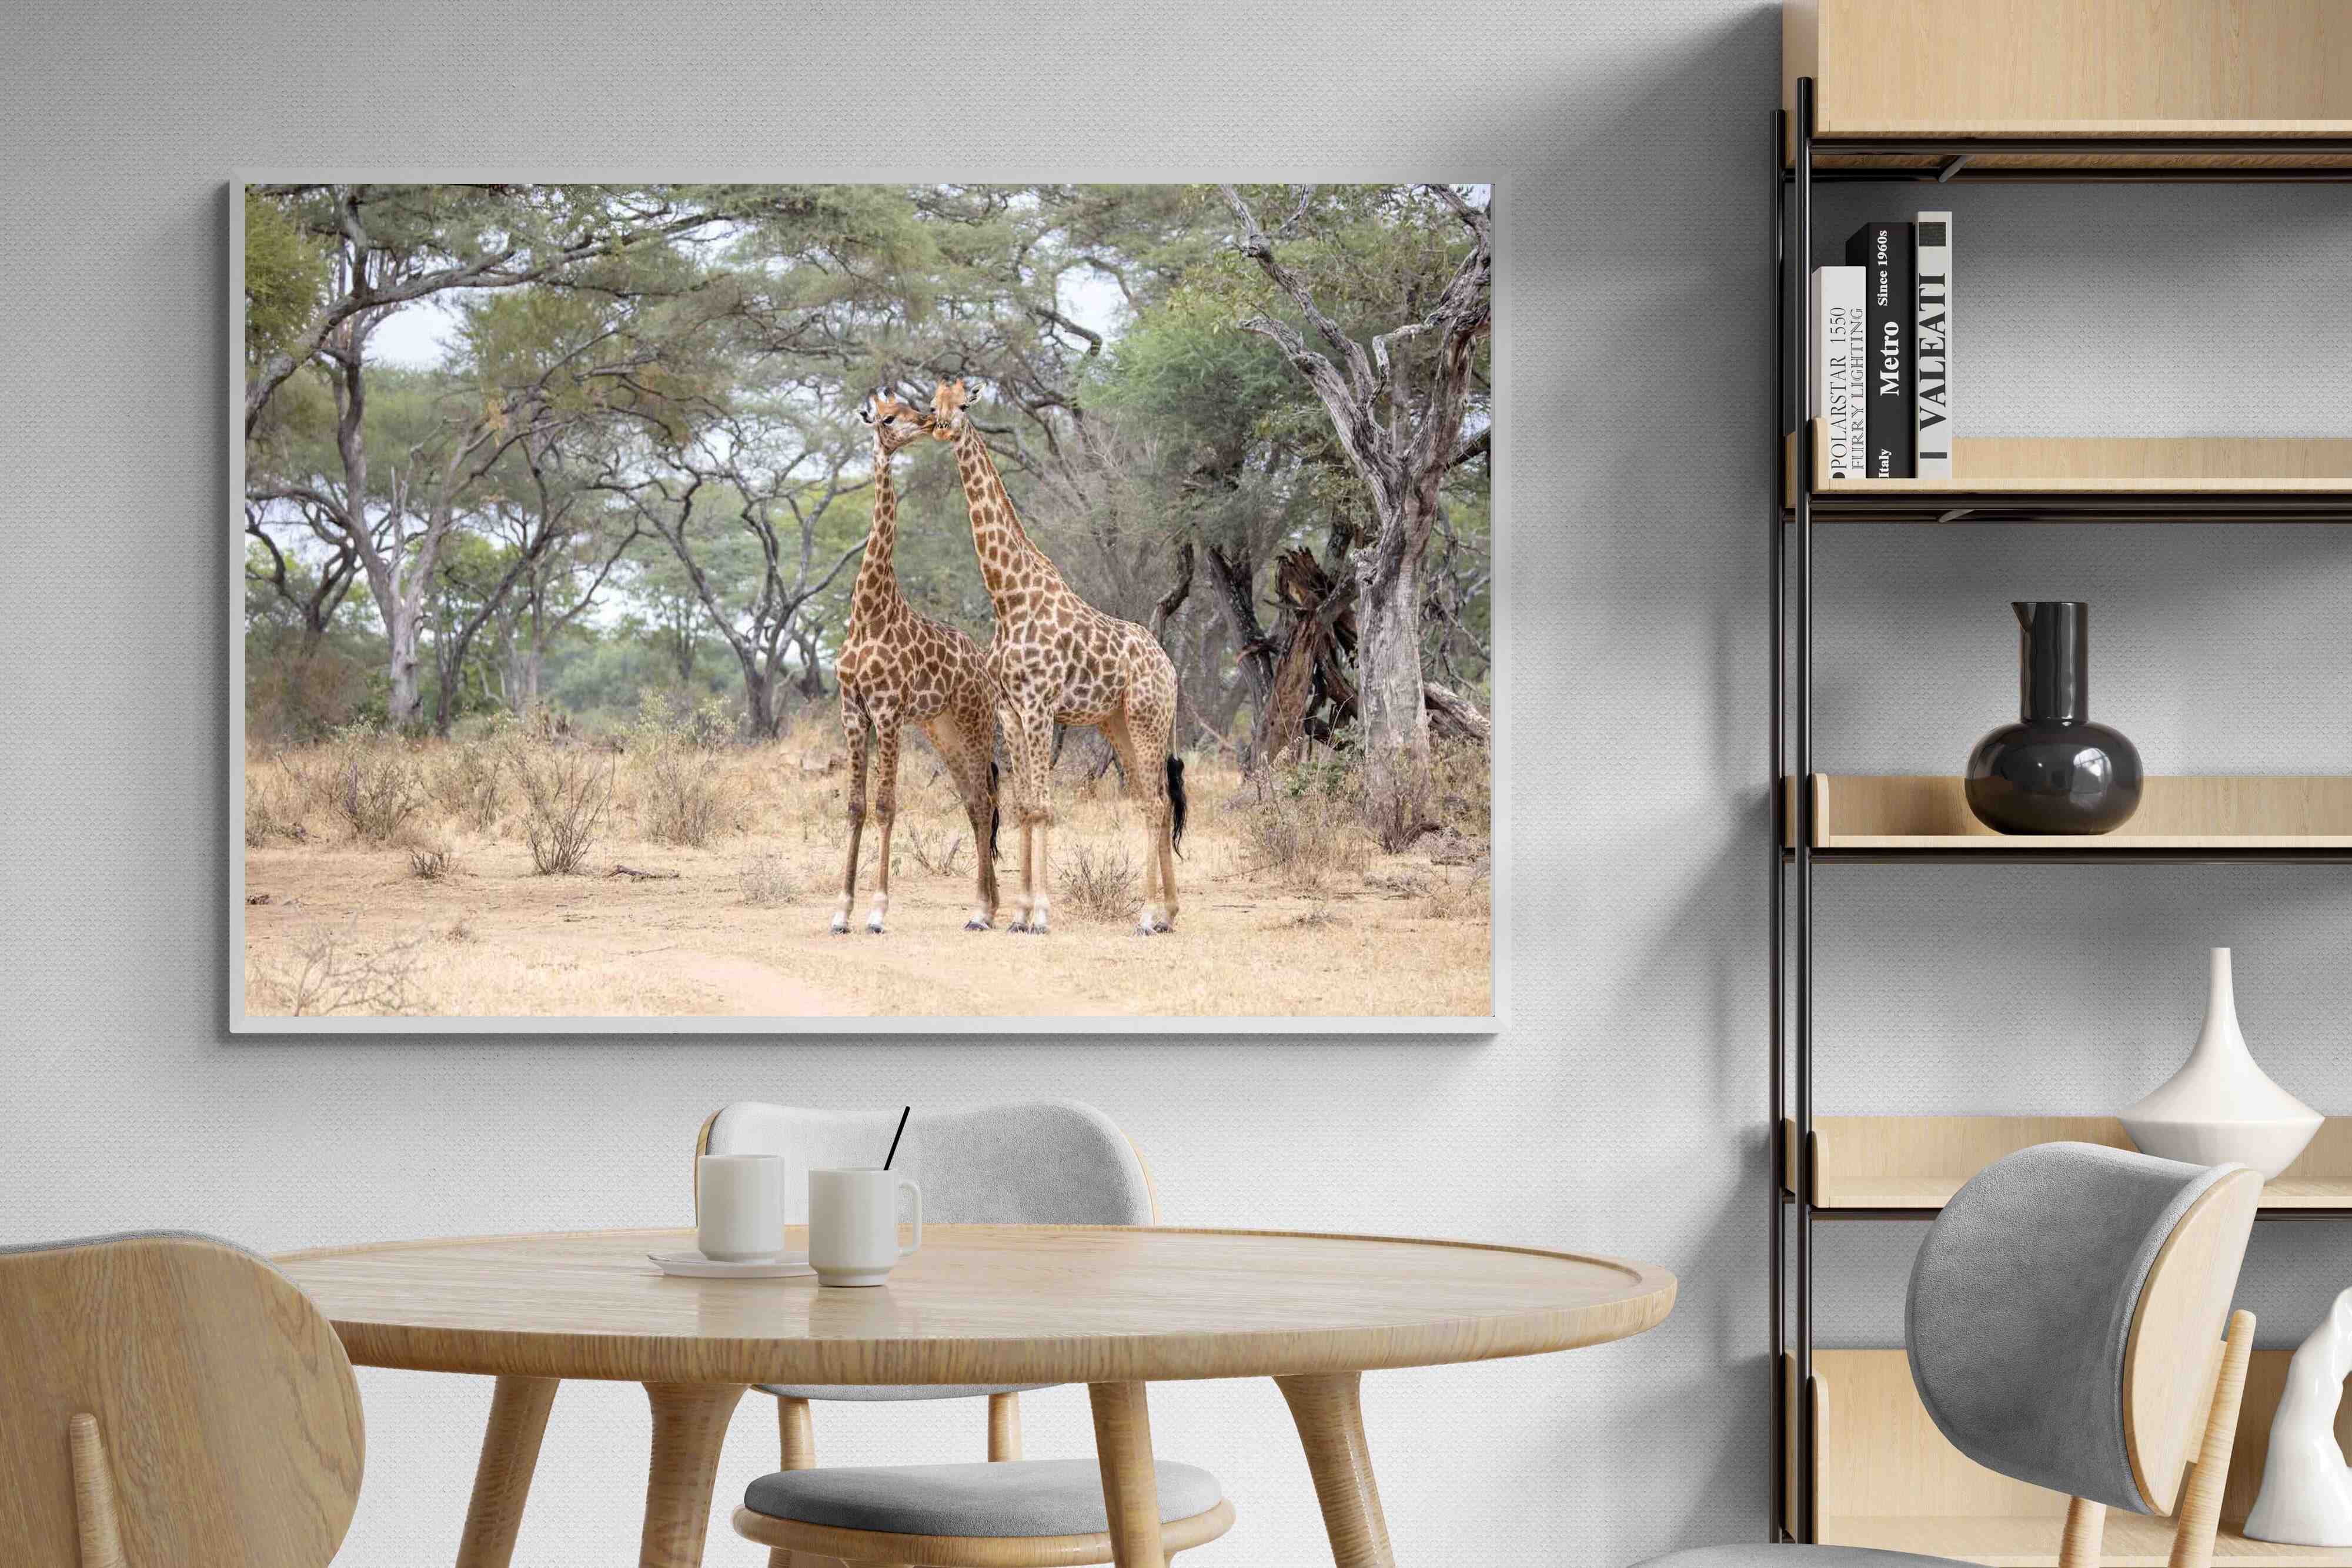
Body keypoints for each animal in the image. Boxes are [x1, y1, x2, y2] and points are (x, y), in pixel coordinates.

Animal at [831, 392, 1001, 935]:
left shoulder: (887, 712)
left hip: (975, 723)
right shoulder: (853, 711)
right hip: (941, 729)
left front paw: (877, 911)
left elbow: (886, 805)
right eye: (888, 416)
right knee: (974, 803)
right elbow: (857, 807)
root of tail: (983, 665)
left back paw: (982, 910)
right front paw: (841, 912)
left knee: (985, 801)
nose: (927, 421)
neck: (869, 613)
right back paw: (989, 906)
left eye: (909, 407)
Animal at [929, 378, 1186, 936]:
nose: (940, 426)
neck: (1007, 596)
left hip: (1147, 717)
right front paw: (1019, 914)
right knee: (1150, 799)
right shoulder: (1011, 710)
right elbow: (1025, 805)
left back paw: (1147, 916)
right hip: (1119, 723)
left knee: (1157, 803)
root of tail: (1171, 668)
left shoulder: (1039, 706)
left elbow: (1045, 807)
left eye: (964, 403)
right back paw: (1168, 913)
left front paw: (1041, 914)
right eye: (932, 402)